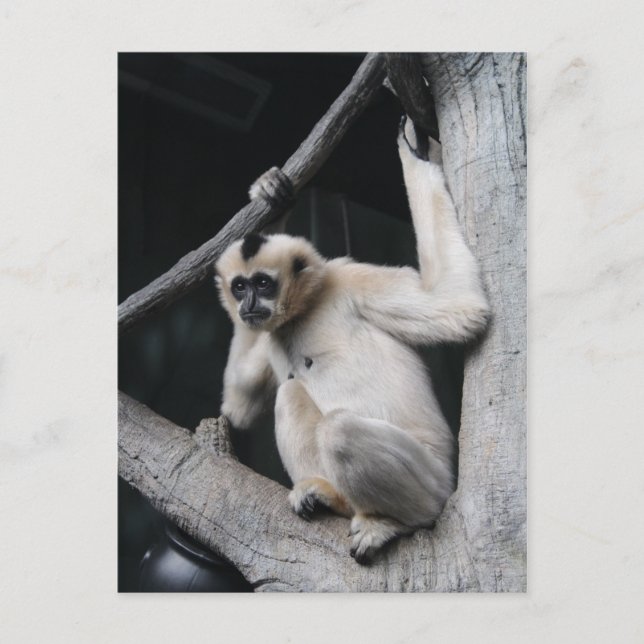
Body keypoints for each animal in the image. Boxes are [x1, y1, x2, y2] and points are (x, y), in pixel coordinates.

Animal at [214, 117, 490, 564]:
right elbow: (239, 406)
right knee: (290, 392)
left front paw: (417, 153)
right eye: (240, 286)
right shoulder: (271, 331)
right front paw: (271, 201)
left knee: (339, 430)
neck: (305, 309)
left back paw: (394, 521)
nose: (249, 303)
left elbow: (459, 306)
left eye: (263, 283)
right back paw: (334, 500)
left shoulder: (350, 280)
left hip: (434, 479)